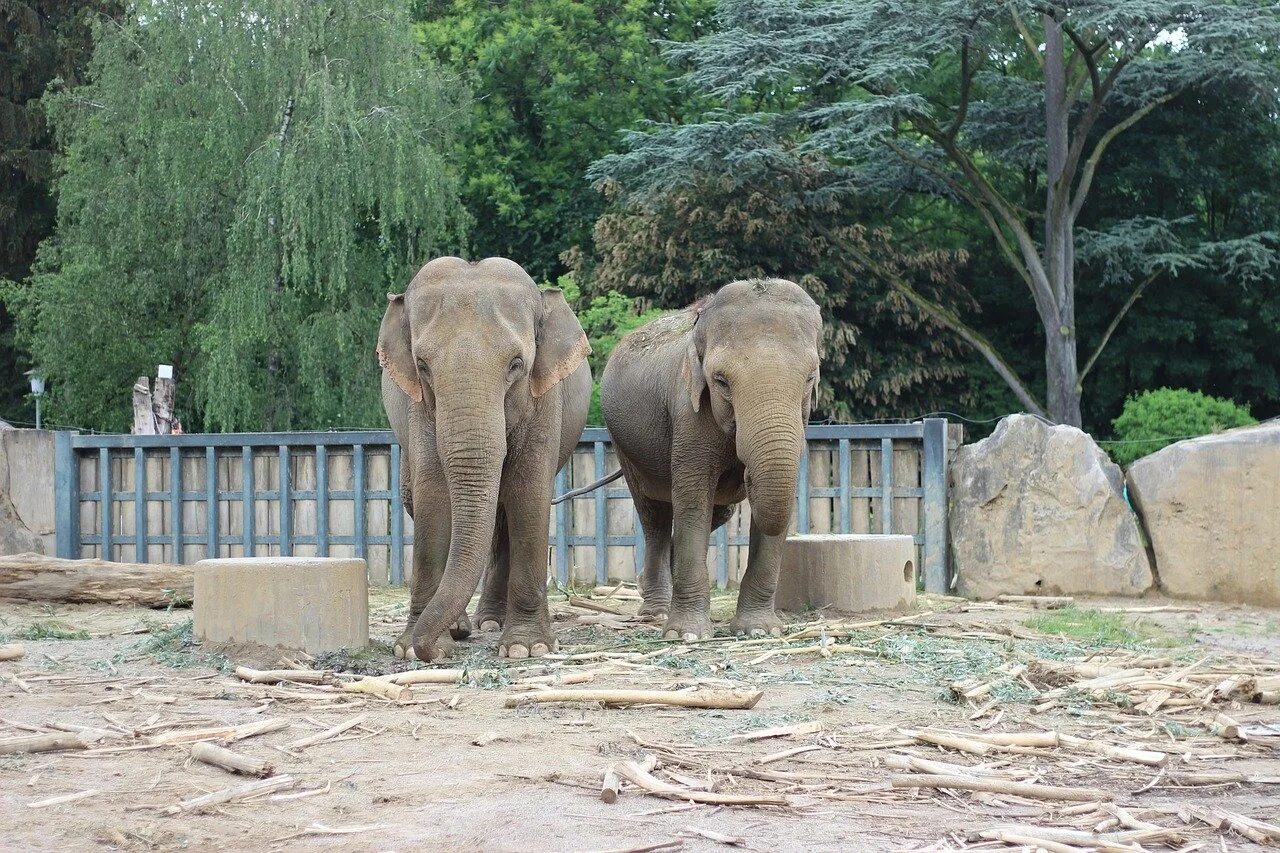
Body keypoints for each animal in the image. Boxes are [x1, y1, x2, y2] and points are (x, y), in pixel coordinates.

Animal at [376, 256, 591, 660]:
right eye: (422, 365)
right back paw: (469, 626)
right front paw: (411, 649)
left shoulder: (544, 398)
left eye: (516, 364)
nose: (429, 651)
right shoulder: (418, 406)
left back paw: (492, 623)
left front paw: (527, 648)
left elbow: (529, 492)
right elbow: (433, 493)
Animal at [596, 277, 819, 637]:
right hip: (623, 446)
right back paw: (656, 612)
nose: (744, 474)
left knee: (719, 512)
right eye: (721, 381)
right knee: (654, 516)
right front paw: (686, 634)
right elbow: (692, 500)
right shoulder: (688, 412)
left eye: (810, 378)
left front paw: (759, 631)